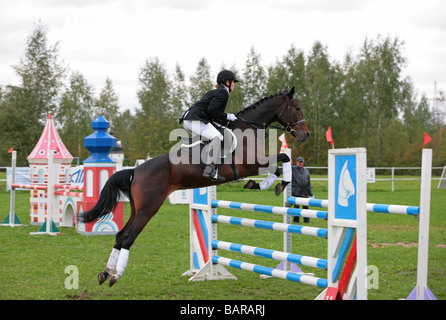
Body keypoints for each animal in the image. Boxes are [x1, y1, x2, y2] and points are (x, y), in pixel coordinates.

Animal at [82, 86, 308, 286]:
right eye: (297, 108)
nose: (305, 135)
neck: (249, 129)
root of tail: (135, 171)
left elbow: (280, 164)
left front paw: (259, 185)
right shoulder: (252, 164)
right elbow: (283, 158)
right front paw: (276, 185)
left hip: (137, 208)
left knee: (120, 236)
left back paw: (105, 273)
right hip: (149, 208)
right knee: (129, 237)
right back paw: (115, 276)